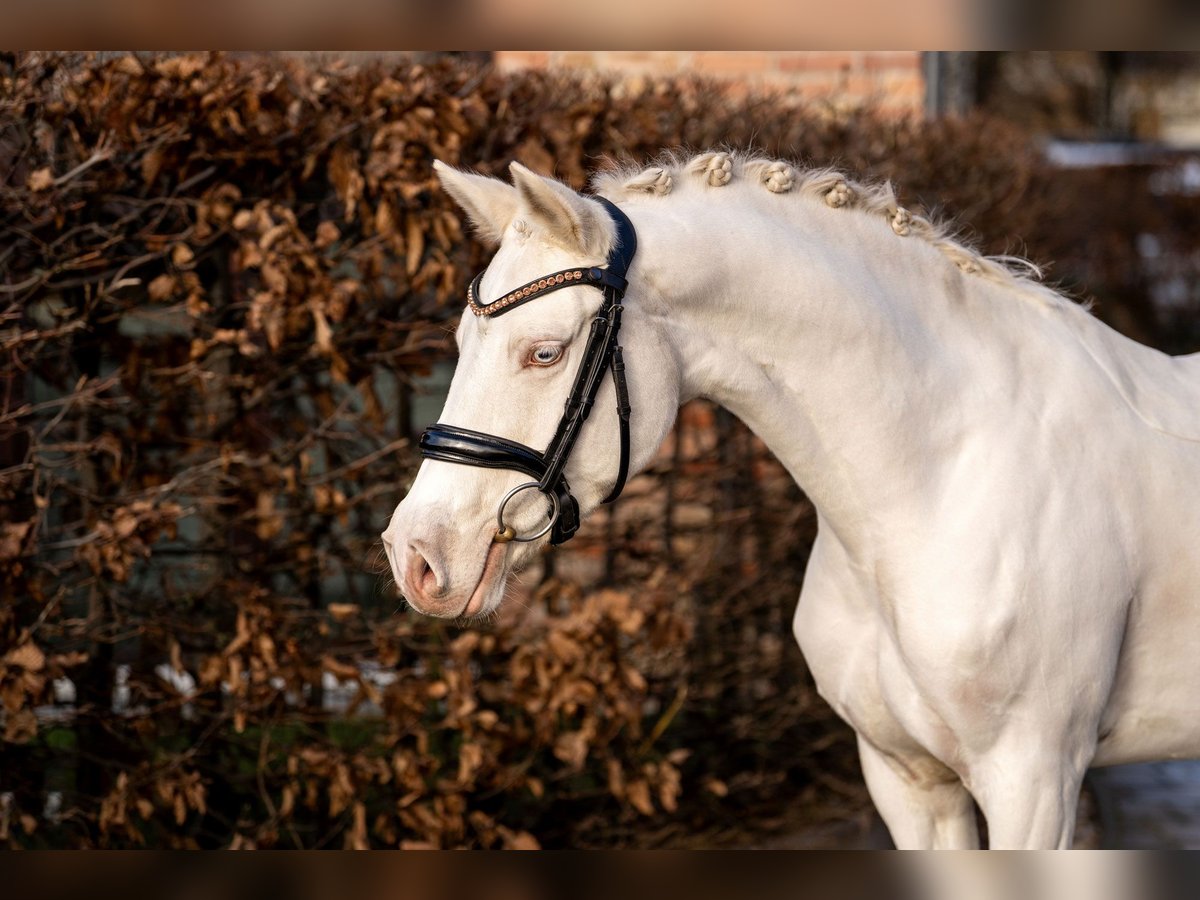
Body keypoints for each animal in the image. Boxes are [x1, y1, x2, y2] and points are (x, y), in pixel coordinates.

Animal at [384, 150, 1200, 854]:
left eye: (545, 352)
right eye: (460, 342)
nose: (417, 555)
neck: (938, 487)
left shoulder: (1033, 783)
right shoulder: (908, 781)